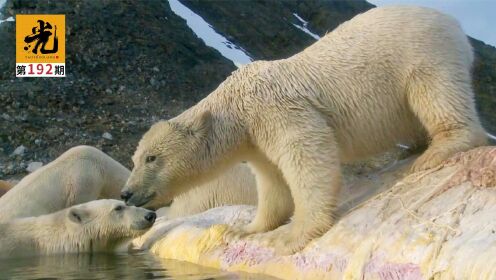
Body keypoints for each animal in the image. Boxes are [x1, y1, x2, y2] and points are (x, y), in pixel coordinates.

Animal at [122, 6, 486, 254]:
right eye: (134, 159)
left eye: (151, 158)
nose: (126, 193)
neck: (237, 105)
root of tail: (453, 22)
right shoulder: (256, 141)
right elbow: (272, 181)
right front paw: (244, 230)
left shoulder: (273, 109)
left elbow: (308, 152)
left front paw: (290, 235)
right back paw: (413, 148)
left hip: (422, 53)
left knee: (436, 92)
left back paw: (439, 148)